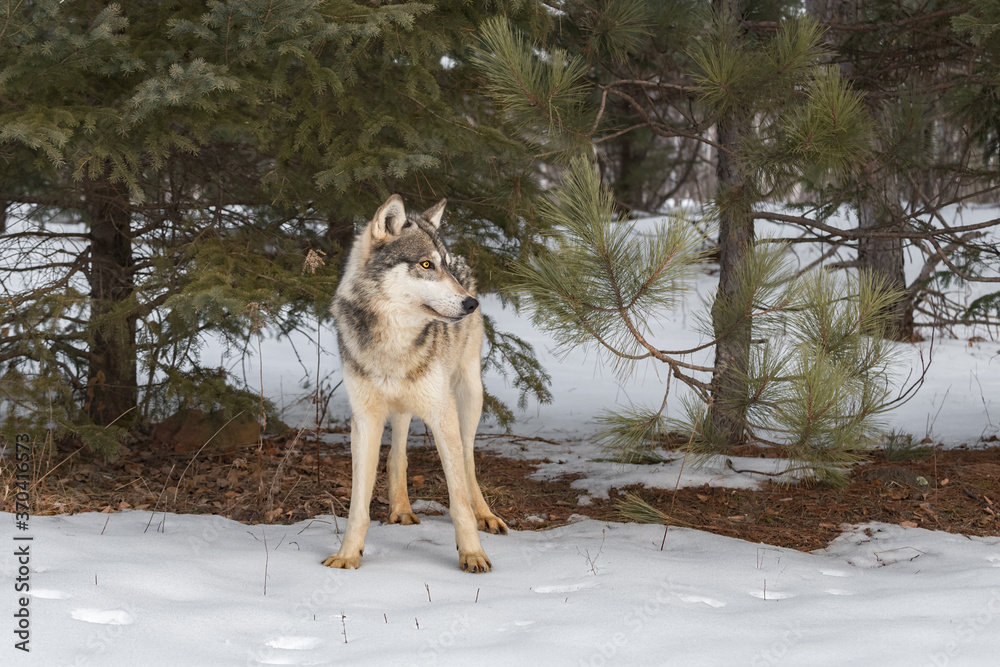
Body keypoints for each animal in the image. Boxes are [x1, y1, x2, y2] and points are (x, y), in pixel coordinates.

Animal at [323, 194, 508, 573]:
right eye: (426, 264)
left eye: (444, 266)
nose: (471, 303)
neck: (393, 344)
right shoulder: (364, 419)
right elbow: (358, 505)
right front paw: (348, 555)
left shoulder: (441, 413)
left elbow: (458, 500)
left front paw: (472, 554)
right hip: (404, 407)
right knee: (398, 455)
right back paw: (401, 509)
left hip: (469, 398)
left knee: (468, 462)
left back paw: (485, 514)